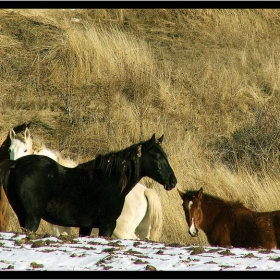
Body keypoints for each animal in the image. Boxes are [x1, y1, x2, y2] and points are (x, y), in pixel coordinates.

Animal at [0, 133, 177, 236]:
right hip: (31, 219)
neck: (109, 180)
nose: (173, 181)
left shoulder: (86, 226)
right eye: (155, 156)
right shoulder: (106, 225)